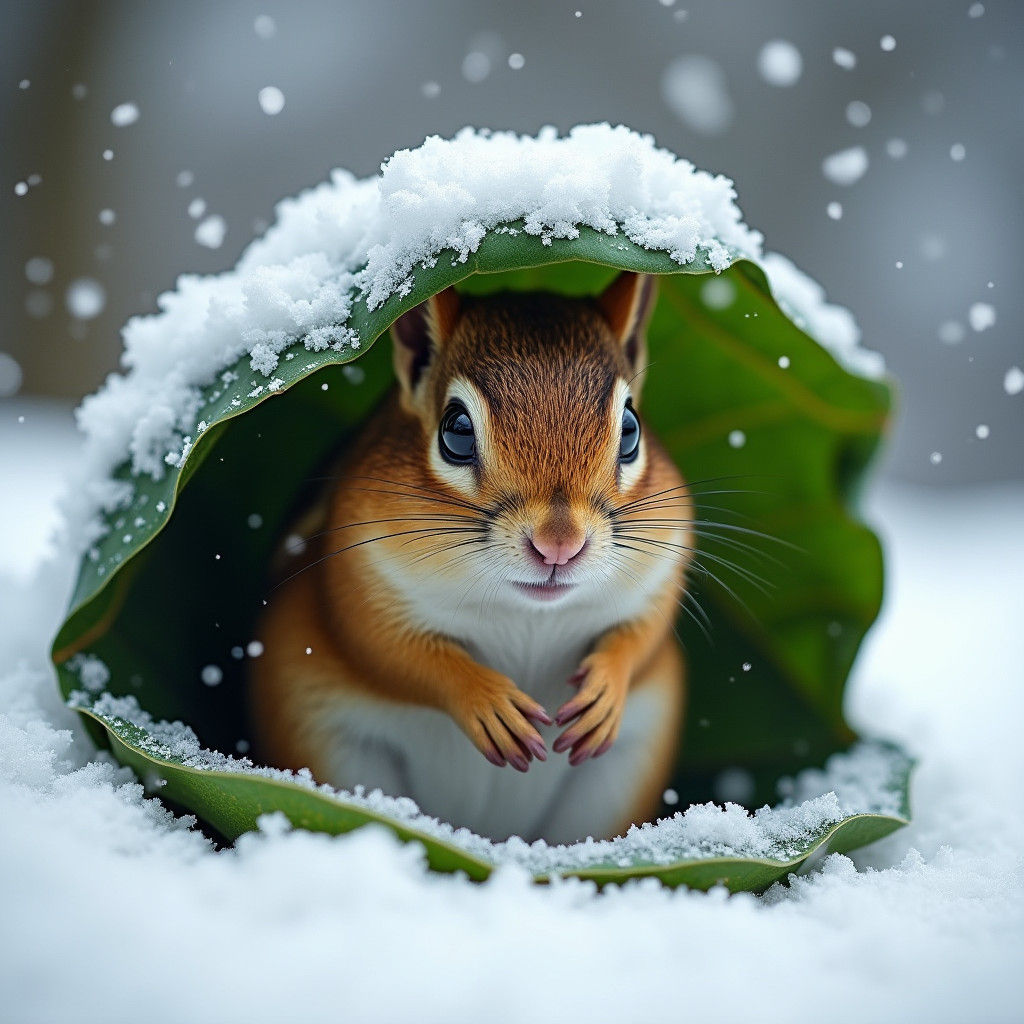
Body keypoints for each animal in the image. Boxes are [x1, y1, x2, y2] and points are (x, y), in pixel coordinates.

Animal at [249, 272, 693, 845]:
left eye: (632, 430)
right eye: (456, 431)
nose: (559, 543)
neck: (528, 616)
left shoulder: (665, 562)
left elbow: (643, 635)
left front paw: (606, 687)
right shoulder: (353, 573)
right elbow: (391, 651)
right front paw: (486, 701)